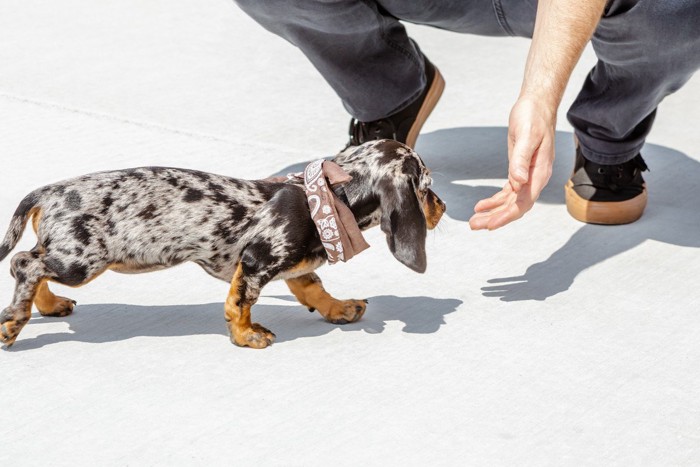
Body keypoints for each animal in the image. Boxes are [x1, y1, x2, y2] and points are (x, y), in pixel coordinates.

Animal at [0, 141, 446, 350]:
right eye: (426, 188)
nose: (442, 207)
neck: (327, 199)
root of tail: (48, 192)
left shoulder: (294, 266)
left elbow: (314, 290)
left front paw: (341, 308)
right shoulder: (256, 262)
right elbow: (240, 303)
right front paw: (247, 336)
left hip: (68, 255)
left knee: (32, 264)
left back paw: (48, 305)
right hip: (82, 261)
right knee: (24, 263)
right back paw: (14, 321)